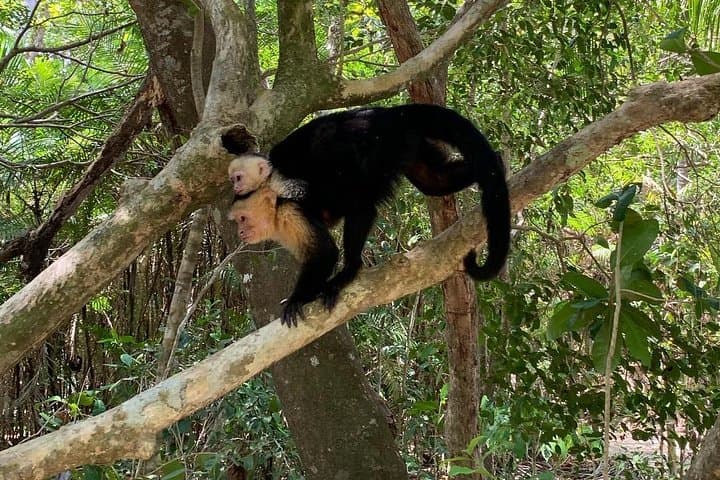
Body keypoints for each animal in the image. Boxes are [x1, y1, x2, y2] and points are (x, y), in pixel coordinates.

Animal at [225, 104, 511, 326]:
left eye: (242, 219)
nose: (240, 232)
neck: (273, 201)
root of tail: (390, 113)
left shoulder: (289, 208)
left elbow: (324, 253)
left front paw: (298, 299)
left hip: (380, 145)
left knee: (360, 203)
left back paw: (349, 271)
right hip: (409, 142)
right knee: (434, 181)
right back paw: (499, 163)